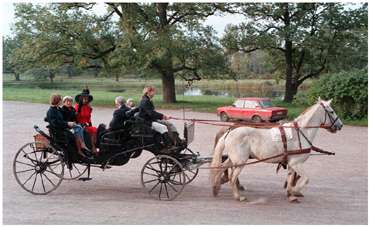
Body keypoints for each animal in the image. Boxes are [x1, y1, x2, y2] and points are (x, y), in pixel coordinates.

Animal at [211, 97, 344, 202]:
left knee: (222, 168)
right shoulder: (296, 163)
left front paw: (291, 194)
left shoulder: (291, 164)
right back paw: (238, 196)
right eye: (332, 111)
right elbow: (306, 179)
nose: (340, 125)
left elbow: (290, 179)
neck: (300, 133)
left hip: (233, 159)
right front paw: (295, 191)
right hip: (240, 161)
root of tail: (229, 132)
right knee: (232, 177)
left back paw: (216, 188)